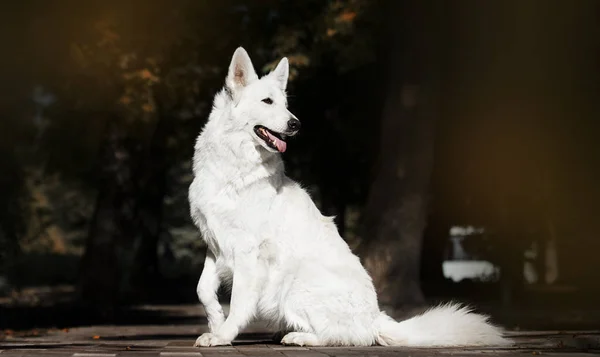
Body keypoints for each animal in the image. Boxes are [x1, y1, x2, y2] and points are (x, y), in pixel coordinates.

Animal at [189, 46, 510, 346]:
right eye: (267, 102)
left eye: (285, 105)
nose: (296, 124)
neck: (232, 166)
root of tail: (376, 318)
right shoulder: (215, 246)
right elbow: (203, 288)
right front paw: (216, 322)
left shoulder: (247, 253)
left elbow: (240, 302)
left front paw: (223, 335)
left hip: (296, 282)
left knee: (338, 336)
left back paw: (299, 337)